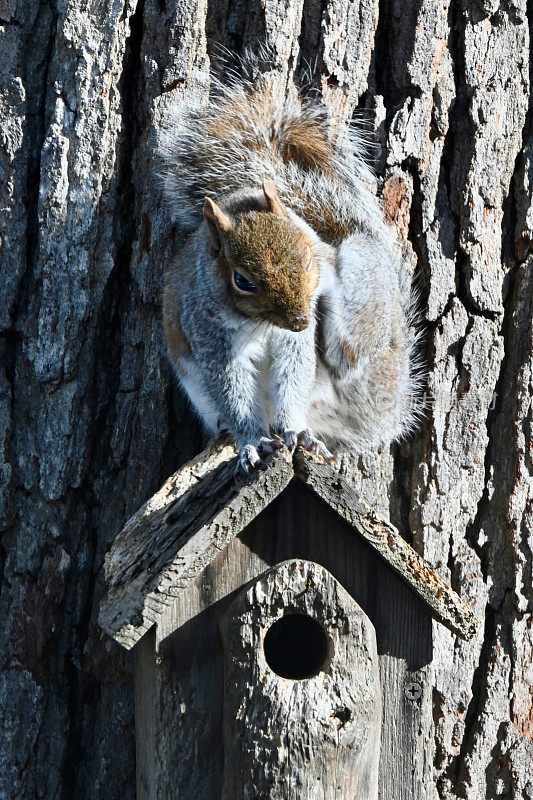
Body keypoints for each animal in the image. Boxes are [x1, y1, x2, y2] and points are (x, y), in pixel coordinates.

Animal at [158, 62, 420, 478]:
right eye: (242, 281)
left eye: (305, 255)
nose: (300, 320)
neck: (261, 326)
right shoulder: (210, 337)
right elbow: (232, 391)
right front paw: (251, 443)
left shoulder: (294, 341)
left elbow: (292, 374)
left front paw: (295, 430)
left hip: (366, 278)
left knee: (347, 352)